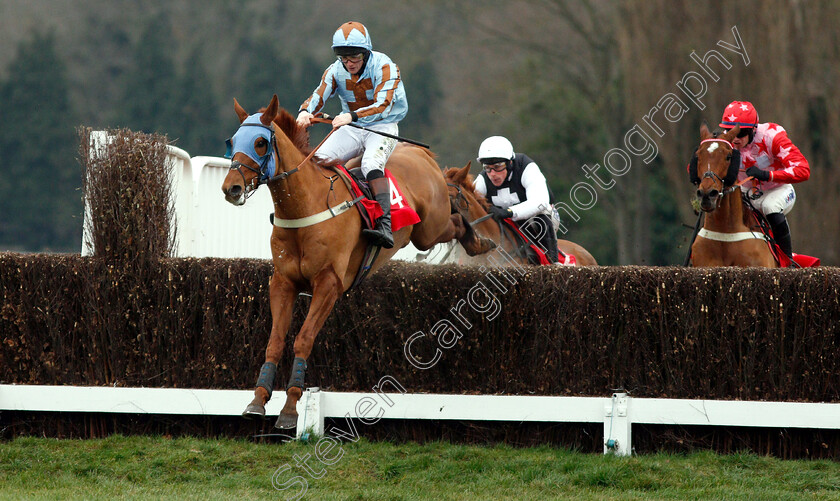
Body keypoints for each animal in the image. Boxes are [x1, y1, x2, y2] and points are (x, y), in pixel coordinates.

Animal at [223, 94, 496, 426]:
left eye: (261, 142)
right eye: (232, 140)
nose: (231, 188)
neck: (306, 207)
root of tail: (420, 153)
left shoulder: (329, 284)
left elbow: (303, 339)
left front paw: (290, 409)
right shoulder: (283, 282)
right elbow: (274, 342)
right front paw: (257, 400)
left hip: (430, 228)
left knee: (455, 220)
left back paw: (478, 239)